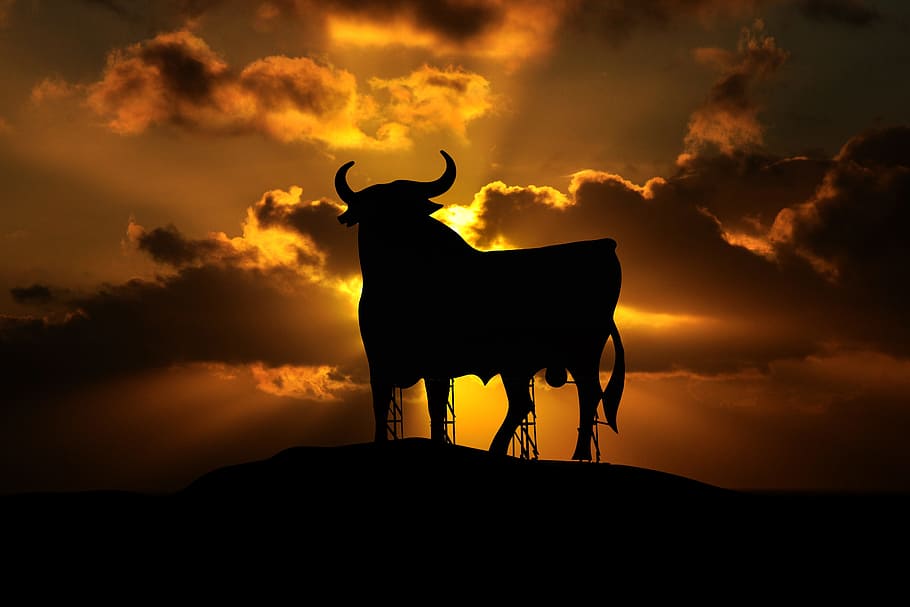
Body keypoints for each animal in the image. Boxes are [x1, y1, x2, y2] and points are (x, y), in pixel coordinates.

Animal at [335, 150, 624, 461]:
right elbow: (381, 404)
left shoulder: (437, 363)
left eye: (406, 206)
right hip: (518, 364)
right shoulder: (378, 359)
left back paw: (579, 453)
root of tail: (606, 245)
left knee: (587, 393)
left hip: (583, 350)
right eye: (374, 208)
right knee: (523, 403)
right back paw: (497, 449)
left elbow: (434, 407)